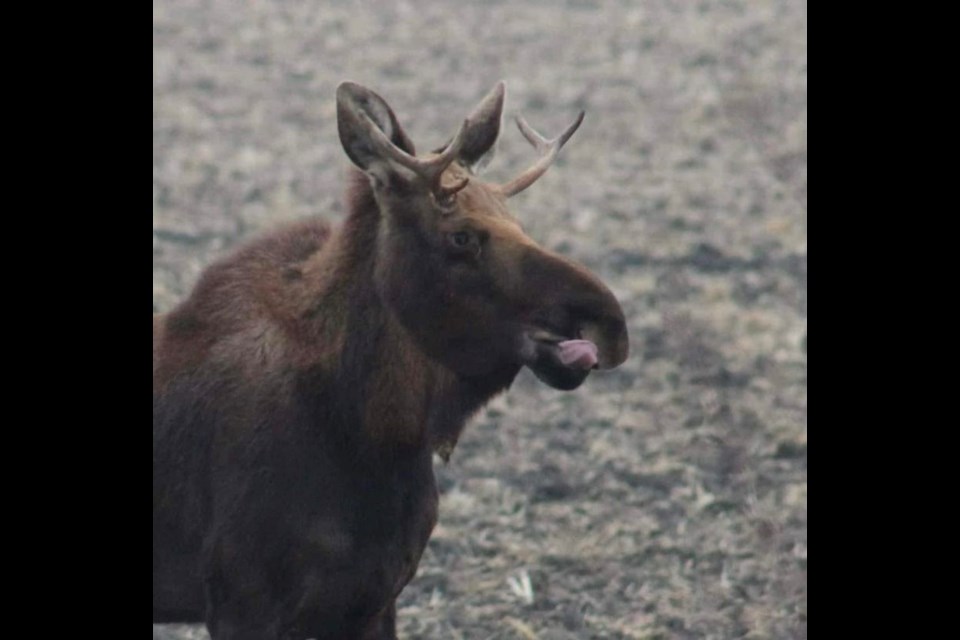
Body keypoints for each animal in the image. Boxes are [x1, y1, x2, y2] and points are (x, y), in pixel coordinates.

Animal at [153, 82, 632, 636]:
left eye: (517, 223)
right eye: (461, 235)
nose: (609, 323)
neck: (378, 435)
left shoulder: (376, 597)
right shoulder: (241, 600)